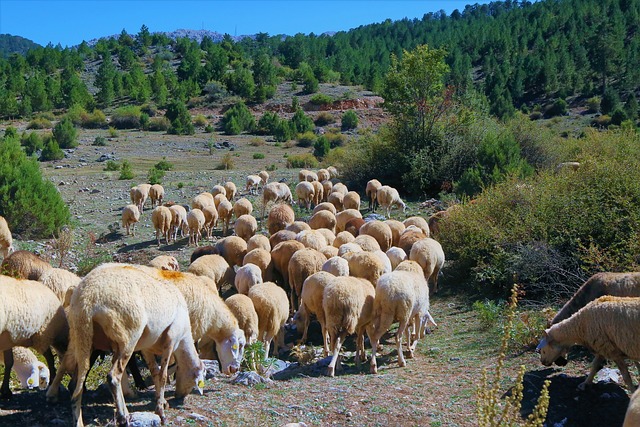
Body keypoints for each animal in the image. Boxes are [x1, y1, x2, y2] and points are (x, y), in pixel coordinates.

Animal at [45, 266, 205, 426]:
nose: (180, 396)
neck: (184, 338)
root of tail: (87, 299)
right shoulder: (171, 340)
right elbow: (163, 375)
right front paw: (161, 412)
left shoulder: (146, 348)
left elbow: (154, 372)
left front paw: (162, 402)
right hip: (127, 337)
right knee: (113, 377)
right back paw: (124, 416)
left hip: (81, 337)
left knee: (74, 383)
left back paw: (78, 420)